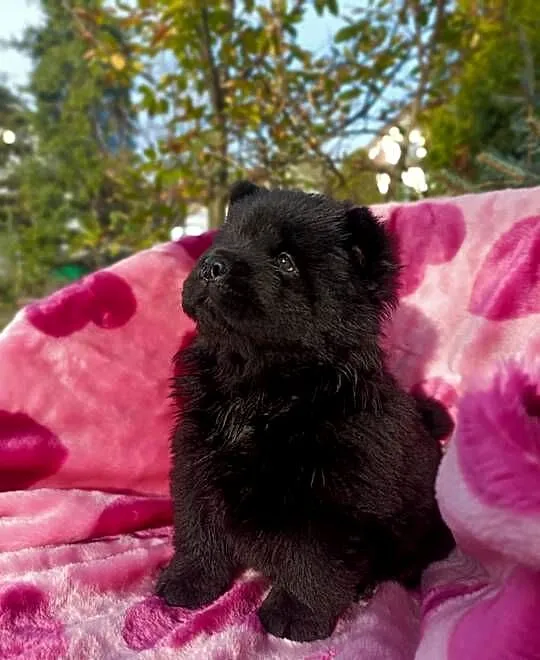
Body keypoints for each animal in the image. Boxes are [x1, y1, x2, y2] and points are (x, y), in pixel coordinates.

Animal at [157, 181, 455, 642]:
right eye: (228, 239)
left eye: (285, 262)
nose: (212, 265)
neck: (257, 381)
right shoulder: (196, 458)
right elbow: (198, 527)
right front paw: (187, 583)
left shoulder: (330, 494)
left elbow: (311, 560)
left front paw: (294, 615)